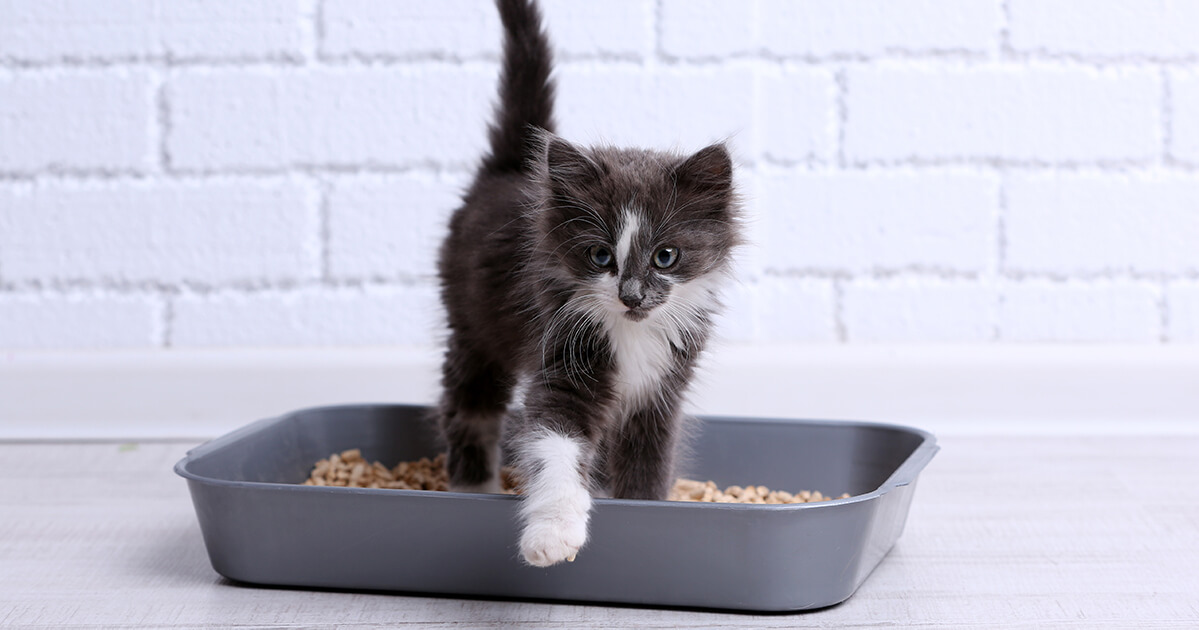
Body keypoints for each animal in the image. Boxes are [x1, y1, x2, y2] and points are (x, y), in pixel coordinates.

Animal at [441, 0, 738, 566]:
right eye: (600, 256)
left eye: (666, 257)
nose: (632, 295)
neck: (633, 335)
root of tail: (507, 171)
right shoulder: (562, 359)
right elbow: (555, 446)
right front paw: (553, 534)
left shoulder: (661, 393)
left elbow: (647, 466)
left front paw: (646, 513)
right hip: (472, 325)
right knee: (468, 407)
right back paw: (472, 488)